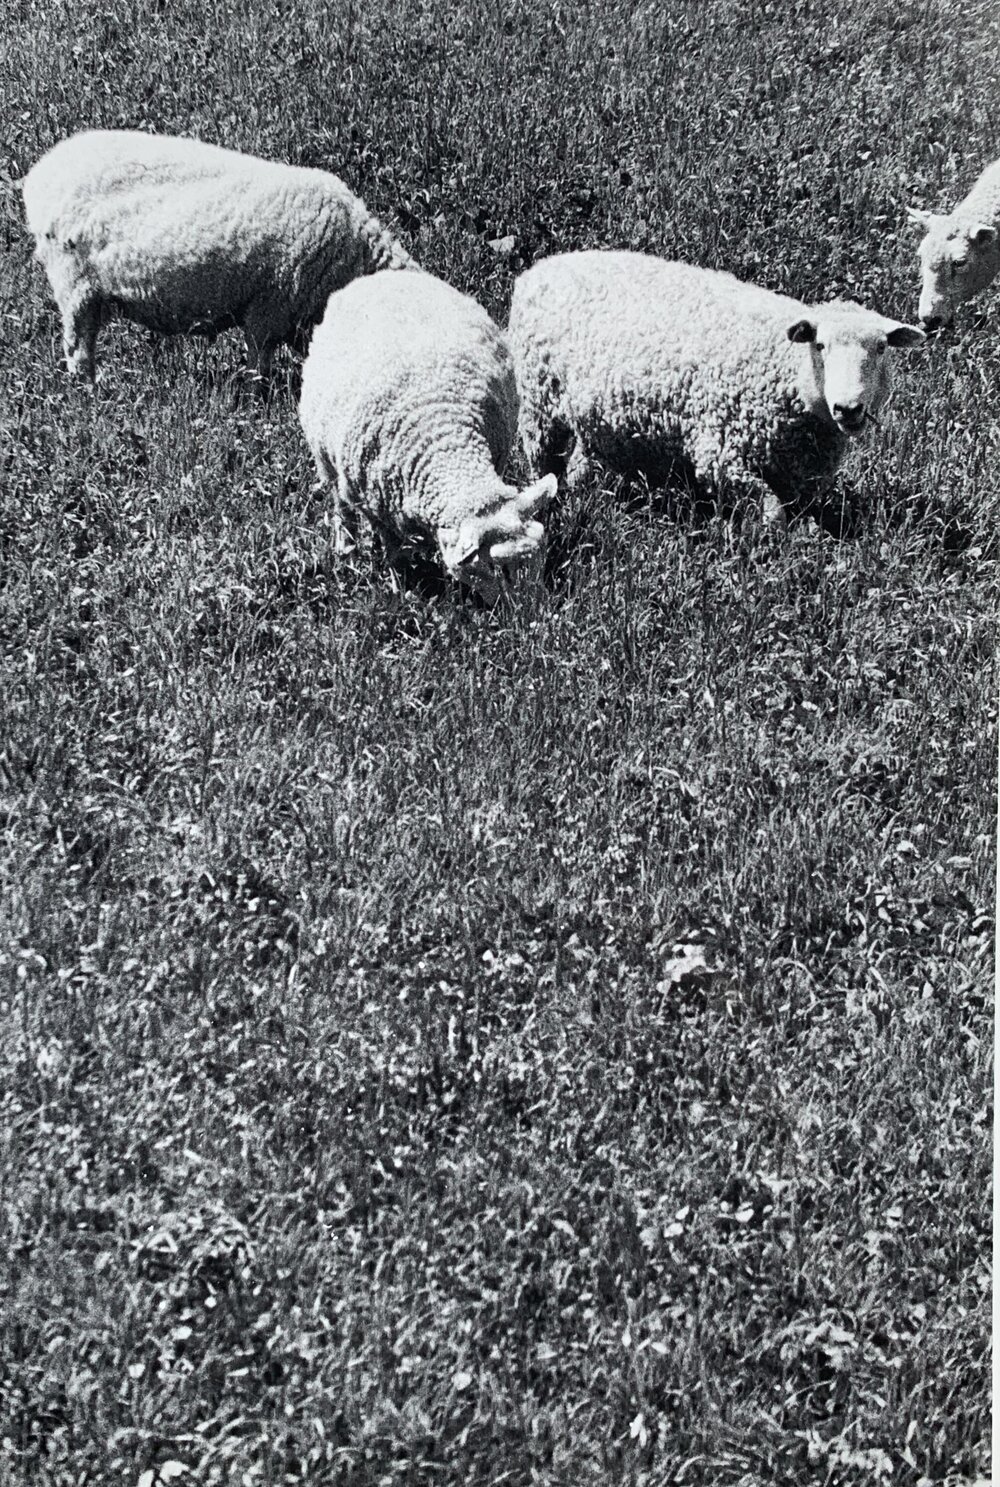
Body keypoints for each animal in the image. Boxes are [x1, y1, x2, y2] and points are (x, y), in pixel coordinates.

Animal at [20, 129, 417, 379]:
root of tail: (40, 174)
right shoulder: (269, 310)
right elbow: (259, 365)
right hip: (74, 283)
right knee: (77, 348)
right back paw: (89, 393)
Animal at [298, 270, 555, 601]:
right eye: (498, 568)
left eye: (542, 553)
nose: (532, 611)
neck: (444, 441)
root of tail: (382, 276)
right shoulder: (376, 506)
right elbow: (393, 549)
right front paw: (402, 586)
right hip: (325, 457)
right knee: (339, 503)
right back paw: (345, 546)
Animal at [508, 251, 924, 531]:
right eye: (819, 345)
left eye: (881, 348)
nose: (848, 408)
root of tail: (541, 267)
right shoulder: (722, 454)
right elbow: (772, 513)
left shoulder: (798, 476)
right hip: (539, 399)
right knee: (541, 455)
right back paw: (549, 499)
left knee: (582, 457)